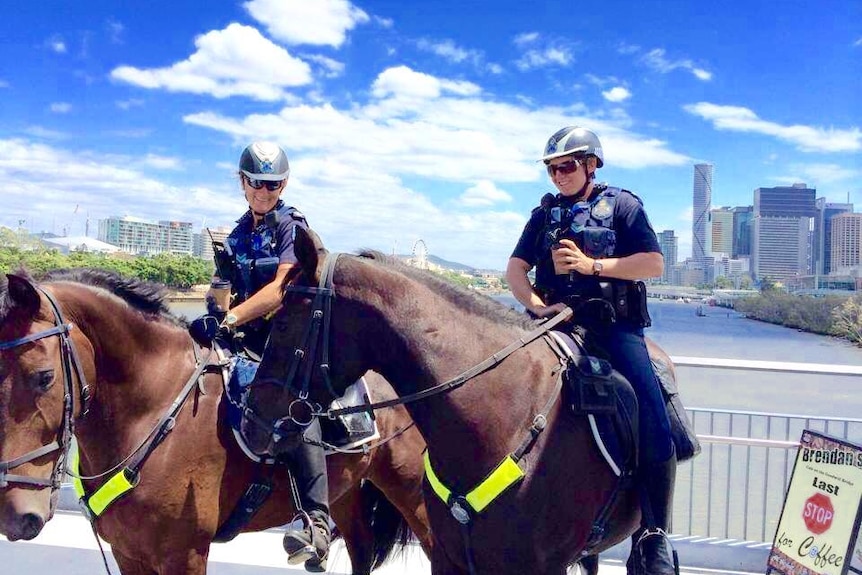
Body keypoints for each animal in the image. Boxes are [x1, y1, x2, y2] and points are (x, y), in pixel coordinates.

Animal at [0, 272, 432, 575]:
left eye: (44, 377)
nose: (15, 516)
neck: (153, 407)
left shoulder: (184, 553)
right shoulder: (128, 552)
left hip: (411, 490)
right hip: (346, 492)